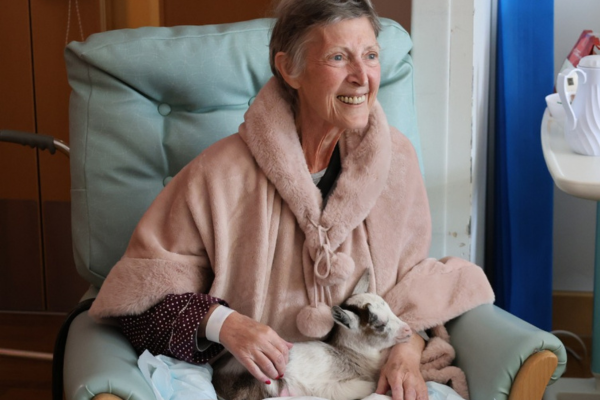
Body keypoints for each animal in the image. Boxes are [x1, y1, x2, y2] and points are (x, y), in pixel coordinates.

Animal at [211, 274, 412, 400]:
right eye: (379, 324)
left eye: (390, 309)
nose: (408, 330)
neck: (346, 355)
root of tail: (217, 378)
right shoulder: (332, 389)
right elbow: (370, 388)